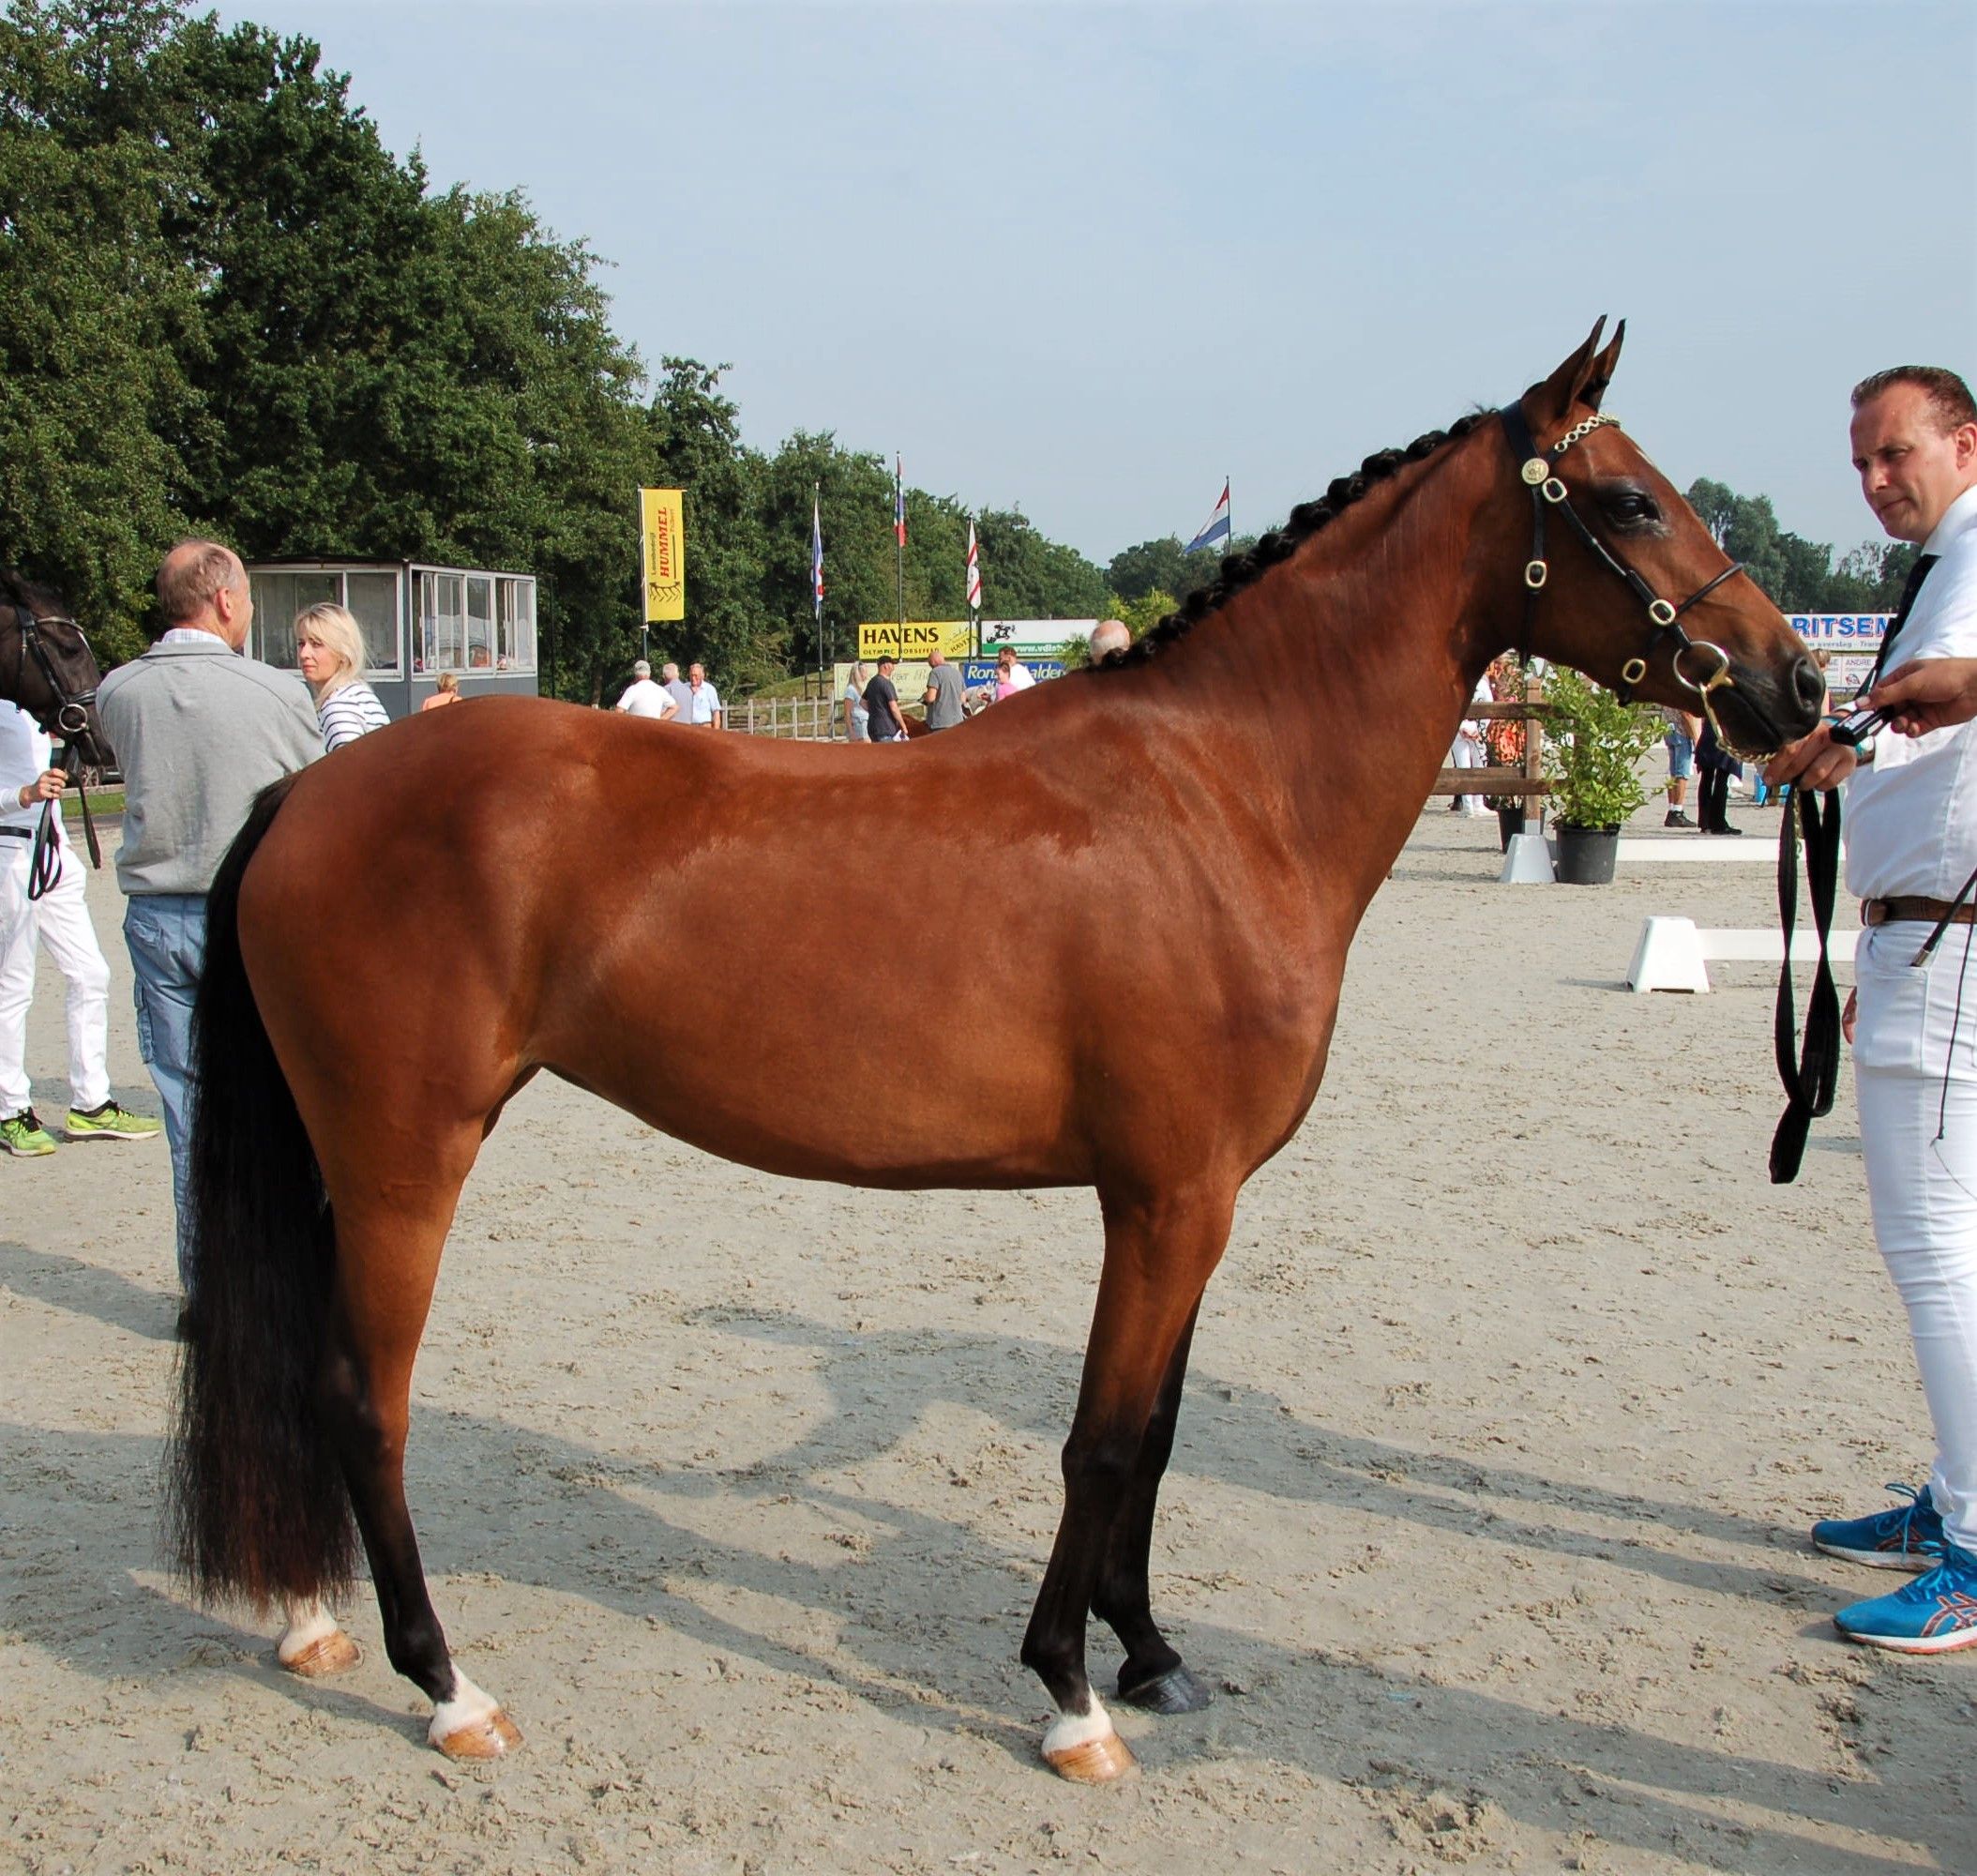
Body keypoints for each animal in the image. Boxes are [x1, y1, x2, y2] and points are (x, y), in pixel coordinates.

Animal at [156, 322, 1823, 1783]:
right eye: (1630, 501)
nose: (1797, 688)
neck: (1224, 791)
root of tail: (310, 794)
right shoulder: (1165, 1201)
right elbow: (1100, 1442)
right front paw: (1071, 1696)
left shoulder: (1196, 1204)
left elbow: (1156, 1438)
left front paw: (1152, 1657)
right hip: (402, 1161)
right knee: (362, 1400)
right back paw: (448, 1688)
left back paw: (308, 1620)